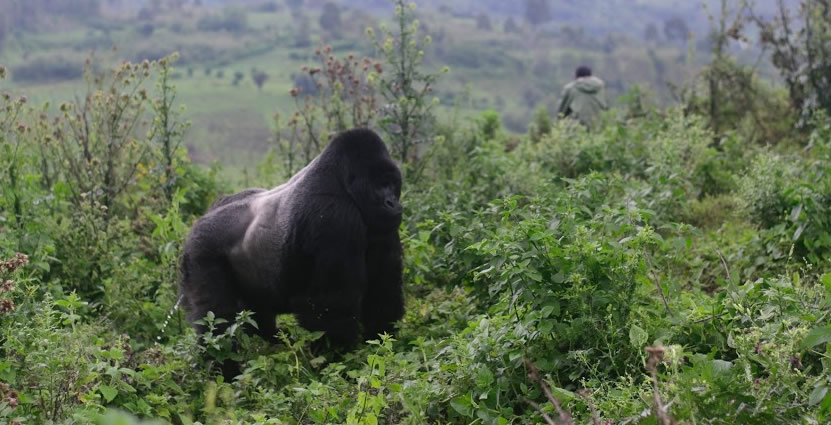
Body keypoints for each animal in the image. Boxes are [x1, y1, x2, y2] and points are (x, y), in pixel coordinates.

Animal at [180, 127, 404, 370]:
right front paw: (337, 361)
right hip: (201, 251)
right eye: (380, 185)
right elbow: (331, 308)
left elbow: (382, 287)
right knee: (217, 322)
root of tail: (200, 220)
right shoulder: (335, 219)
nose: (392, 203)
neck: (344, 185)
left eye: (393, 184)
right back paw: (224, 371)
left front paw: (381, 343)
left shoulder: (380, 225)